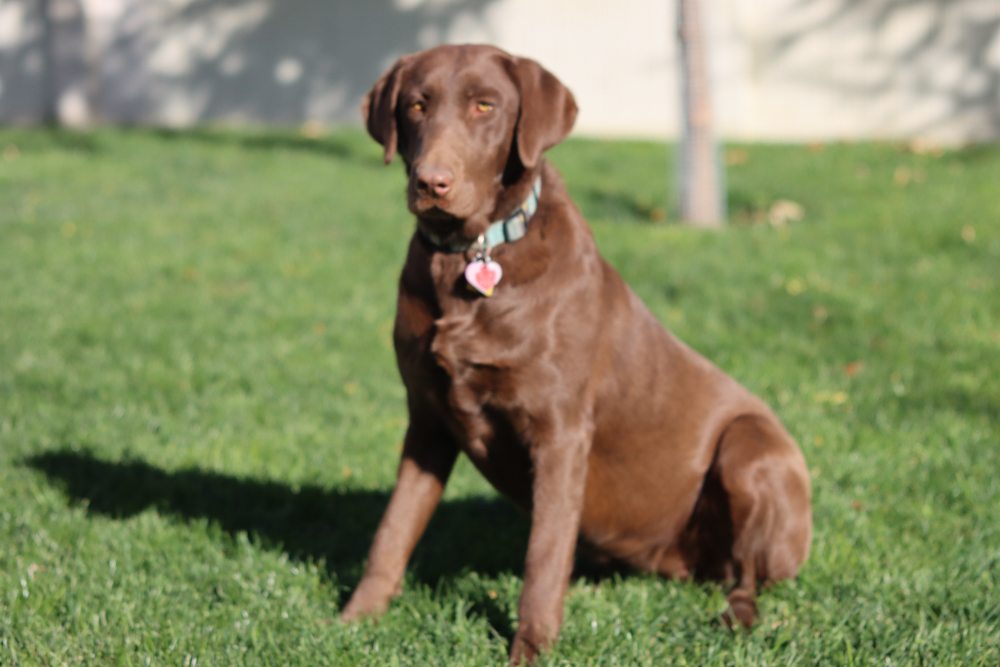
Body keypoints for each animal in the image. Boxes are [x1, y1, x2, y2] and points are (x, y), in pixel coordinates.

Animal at [344, 44, 812, 664]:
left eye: (485, 106)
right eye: (416, 105)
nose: (432, 182)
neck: (471, 254)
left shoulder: (559, 431)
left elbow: (542, 554)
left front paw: (531, 648)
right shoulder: (426, 420)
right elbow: (392, 530)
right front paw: (352, 622)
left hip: (751, 449)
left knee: (750, 574)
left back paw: (735, 615)